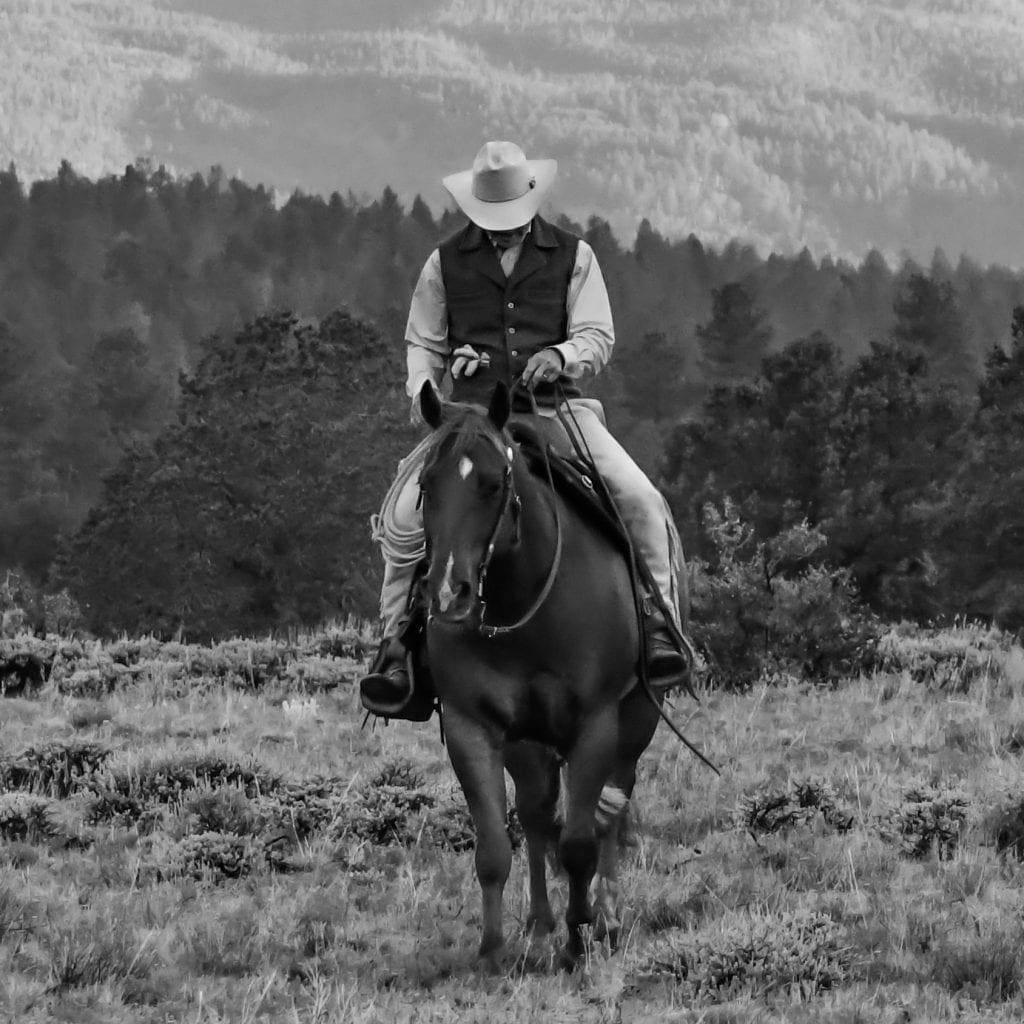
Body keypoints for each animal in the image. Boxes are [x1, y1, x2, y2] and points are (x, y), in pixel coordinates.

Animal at [415, 380, 671, 962]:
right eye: (425, 486)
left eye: (492, 484)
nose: (449, 594)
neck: (524, 603)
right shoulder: (472, 727)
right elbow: (493, 845)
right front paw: (492, 951)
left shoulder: (596, 724)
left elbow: (579, 841)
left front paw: (580, 936)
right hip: (526, 742)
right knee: (535, 813)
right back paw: (538, 923)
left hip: (636, 721)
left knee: (611, 808)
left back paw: (607, 917)